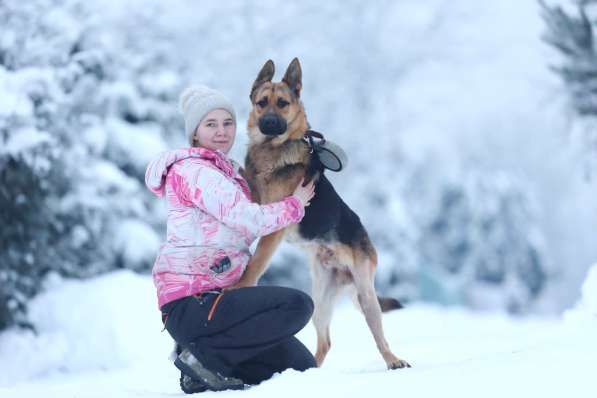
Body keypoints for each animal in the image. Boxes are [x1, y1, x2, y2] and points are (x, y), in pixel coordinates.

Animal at [237, 57, 410, 368]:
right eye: (261, 102)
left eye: (282, 103)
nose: (268, 123)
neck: (272, 151)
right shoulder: (256, 200)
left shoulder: (273, 227)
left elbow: (255, 266)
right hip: (320, 301)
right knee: (325, 342)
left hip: (367, 298)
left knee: (379, 337)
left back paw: (393, 360)